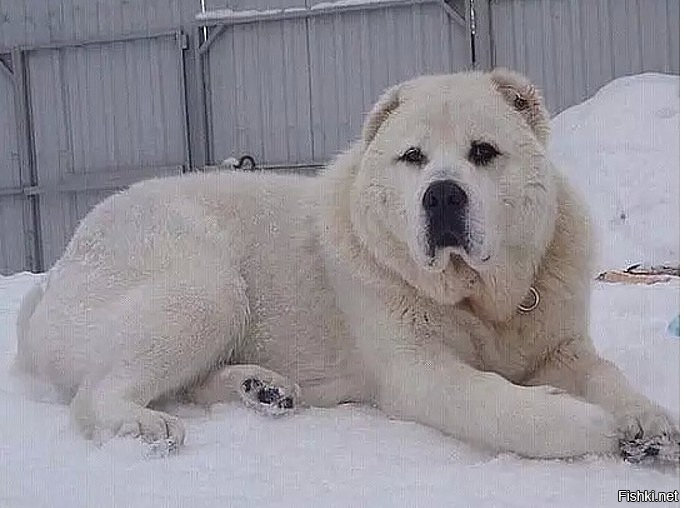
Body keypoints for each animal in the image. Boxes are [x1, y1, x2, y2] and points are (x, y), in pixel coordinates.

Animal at [16, 68, 680, 460]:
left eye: (483, 152)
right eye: (412, 157)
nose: (442, 195)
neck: (480, 298)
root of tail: (56, 273)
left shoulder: (561, 348)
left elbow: (607, 374)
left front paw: (649, 422)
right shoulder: (417, 368)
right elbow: (493, 401)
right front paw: (587, 425)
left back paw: (263, 389)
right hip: (206, 288)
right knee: (95, 394)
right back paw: (144, 427)